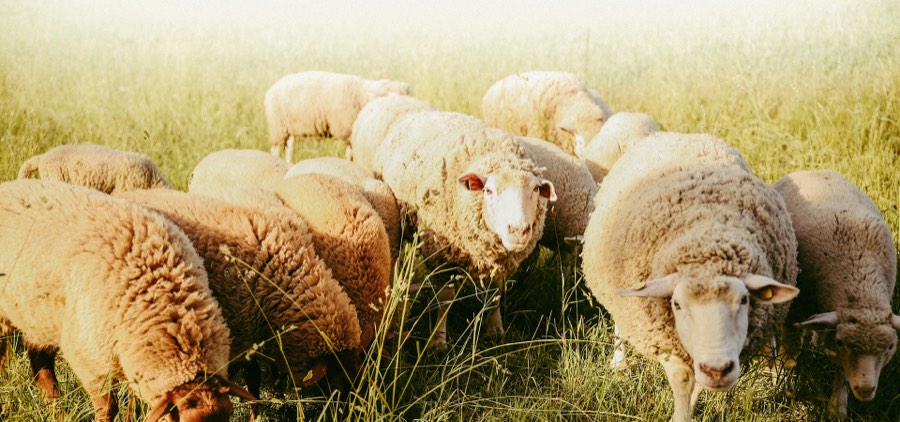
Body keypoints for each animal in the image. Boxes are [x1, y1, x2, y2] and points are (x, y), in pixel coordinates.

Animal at [0, 179, 253, 422]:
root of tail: (9, 186)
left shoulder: (132, 354)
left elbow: (134, 402)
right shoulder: (90, 361)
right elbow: (107, 407)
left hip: (38, 317)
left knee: (40, 363)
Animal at [265, 71, 412, 162]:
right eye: (388, 96)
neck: (362, 96)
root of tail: (271, 90)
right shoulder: (348, 131)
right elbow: (350, 153)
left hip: (288, 128)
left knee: (289, 147)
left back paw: (289, 163)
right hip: (277, 126)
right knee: (276, 149)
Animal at [375, 110, 557, 348]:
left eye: (535, 189)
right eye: (489, 191)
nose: (518, 230)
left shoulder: (498, 261)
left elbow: (495, 293)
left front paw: (495, 330)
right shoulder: (441, 256)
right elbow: (445, 300)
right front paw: (438, 340)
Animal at [582, 133, 800, 422]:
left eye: (744, 300)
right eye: (677, 304)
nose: (718, 369)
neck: (707, 236)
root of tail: (675, 134)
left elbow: (699, 385)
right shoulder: (667, 341)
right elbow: (683, 381)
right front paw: (680, 415)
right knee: (619, 322)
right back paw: (619, 363)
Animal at [773, 169, 899, 417]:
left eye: (890, 347)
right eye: (841, 343)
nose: (865, 390)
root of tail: (810, 169)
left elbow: (841, 371)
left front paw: (837, 407)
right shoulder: (795, 310)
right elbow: (789, 351)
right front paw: (780, 380)